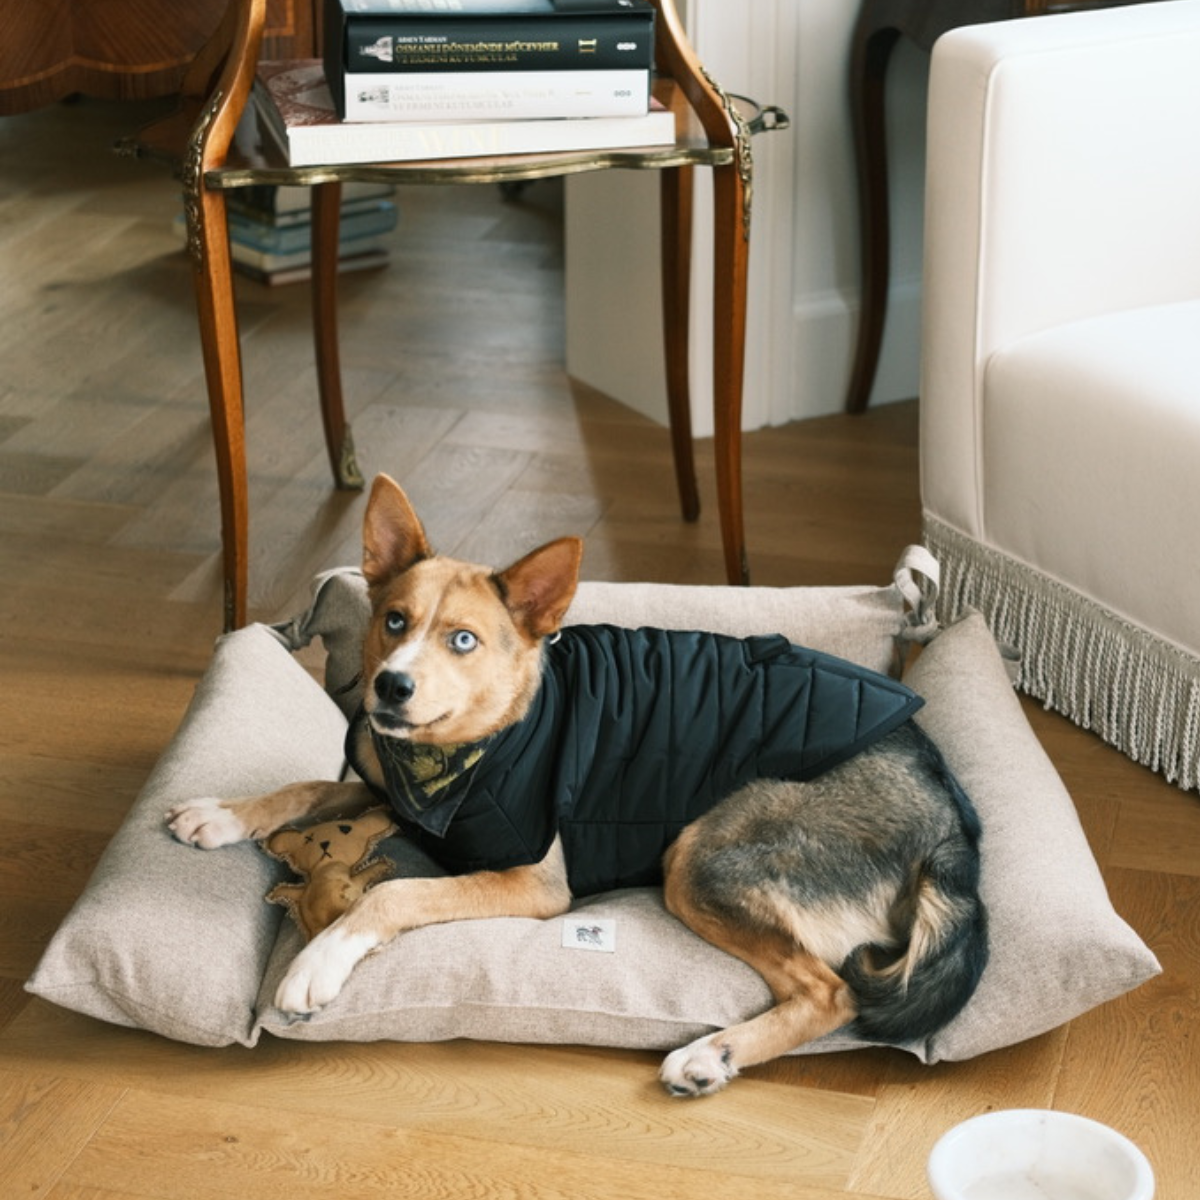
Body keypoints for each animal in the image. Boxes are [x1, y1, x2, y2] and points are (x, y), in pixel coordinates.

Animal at [171, 472, 993, 1094]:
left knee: (831, 992)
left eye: (463, 640)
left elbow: (394, 892)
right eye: (394, 621)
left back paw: (709, 1056)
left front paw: (318, 961)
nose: (388, 689)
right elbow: (307, 787)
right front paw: (222, 814)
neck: (454, 755)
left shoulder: (533, 884)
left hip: (700, 861)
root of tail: (950, 822)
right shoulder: (379, 783)